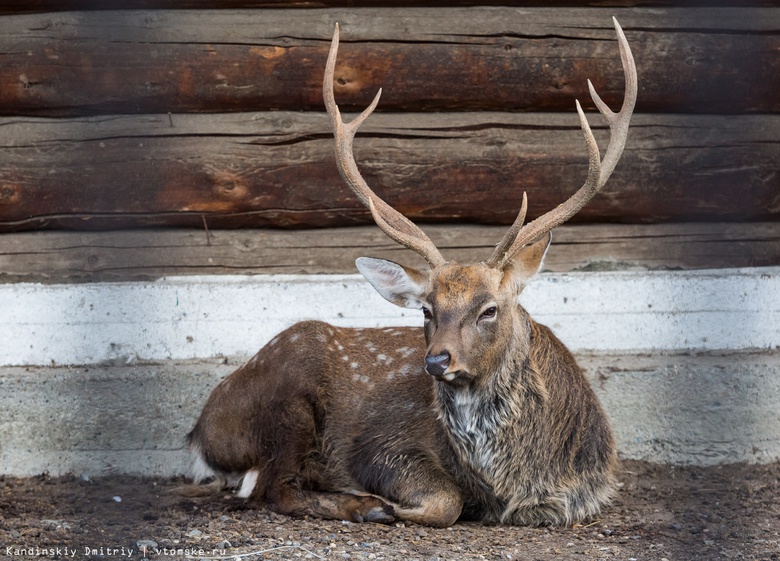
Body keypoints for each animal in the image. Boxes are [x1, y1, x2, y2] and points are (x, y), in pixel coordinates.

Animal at [186, 17, 636, 524]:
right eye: (426, 309)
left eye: (490, 309)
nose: (436, 360)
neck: (517, 484)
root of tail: (200, 433)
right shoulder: (380, 445)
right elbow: (446, 501)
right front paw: (385, 503)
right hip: (287, 399)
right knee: (274, 488)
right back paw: (364, 506)